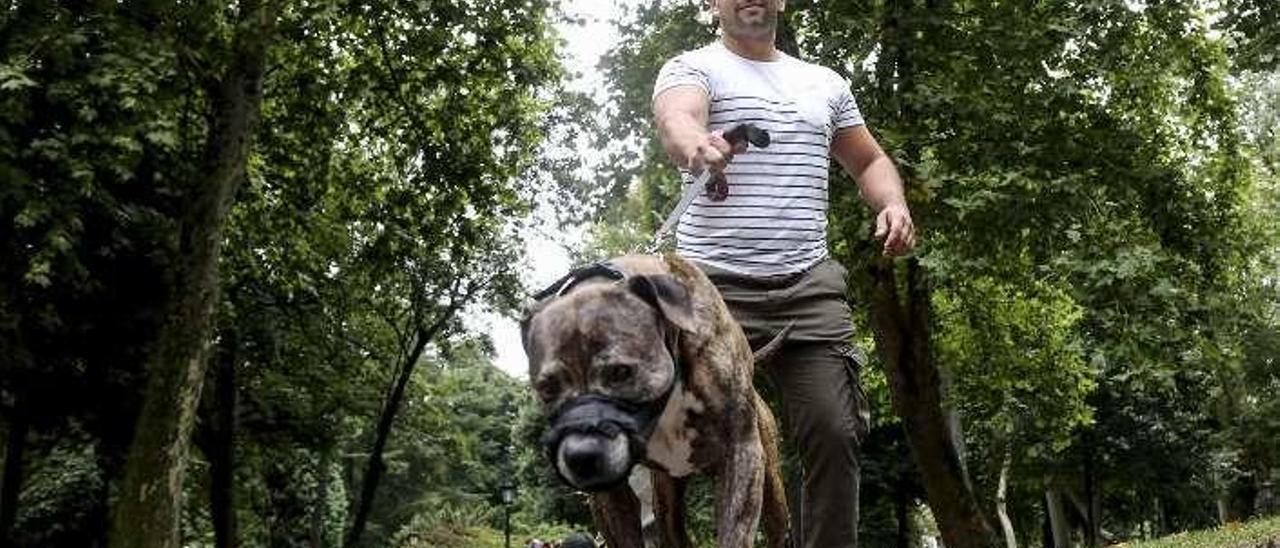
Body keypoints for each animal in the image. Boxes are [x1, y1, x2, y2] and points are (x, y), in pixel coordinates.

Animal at [517, 254, 778, 545]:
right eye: (547, 389)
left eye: (621, 372)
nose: (580, 456)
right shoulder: (612, 496)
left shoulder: (740, 453)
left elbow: (735, 532)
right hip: (665, 495)